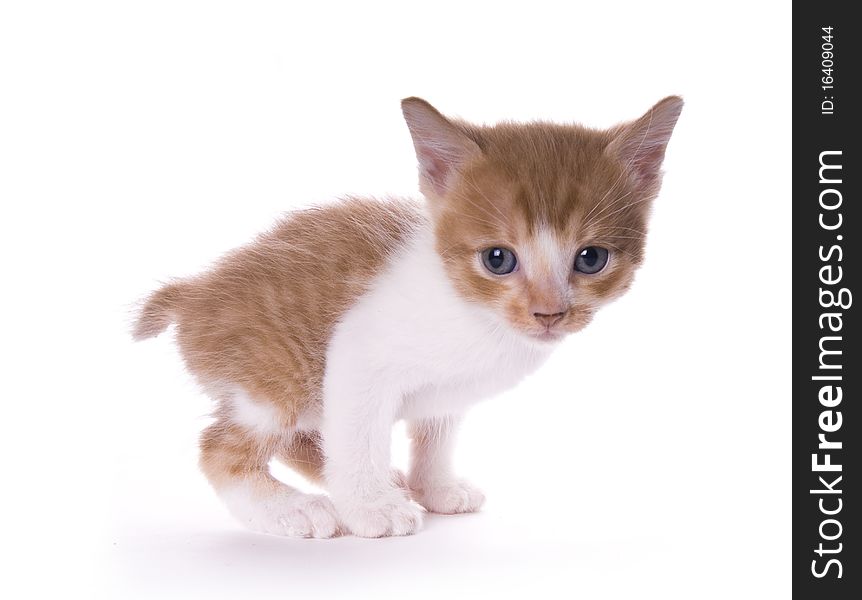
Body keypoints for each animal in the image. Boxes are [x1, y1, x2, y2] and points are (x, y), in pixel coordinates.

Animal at [135, 95, 684, 540]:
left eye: (591, 259)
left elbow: (436, 433)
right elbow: (356, 436)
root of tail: (195, 292)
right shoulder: (357, 355)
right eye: (498, 259)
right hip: (278, 372)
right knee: (220, 448)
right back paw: (295, 510)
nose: (549, 313)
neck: (474, 315)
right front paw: (369, 509)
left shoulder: (446, 393)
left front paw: (434, 487)